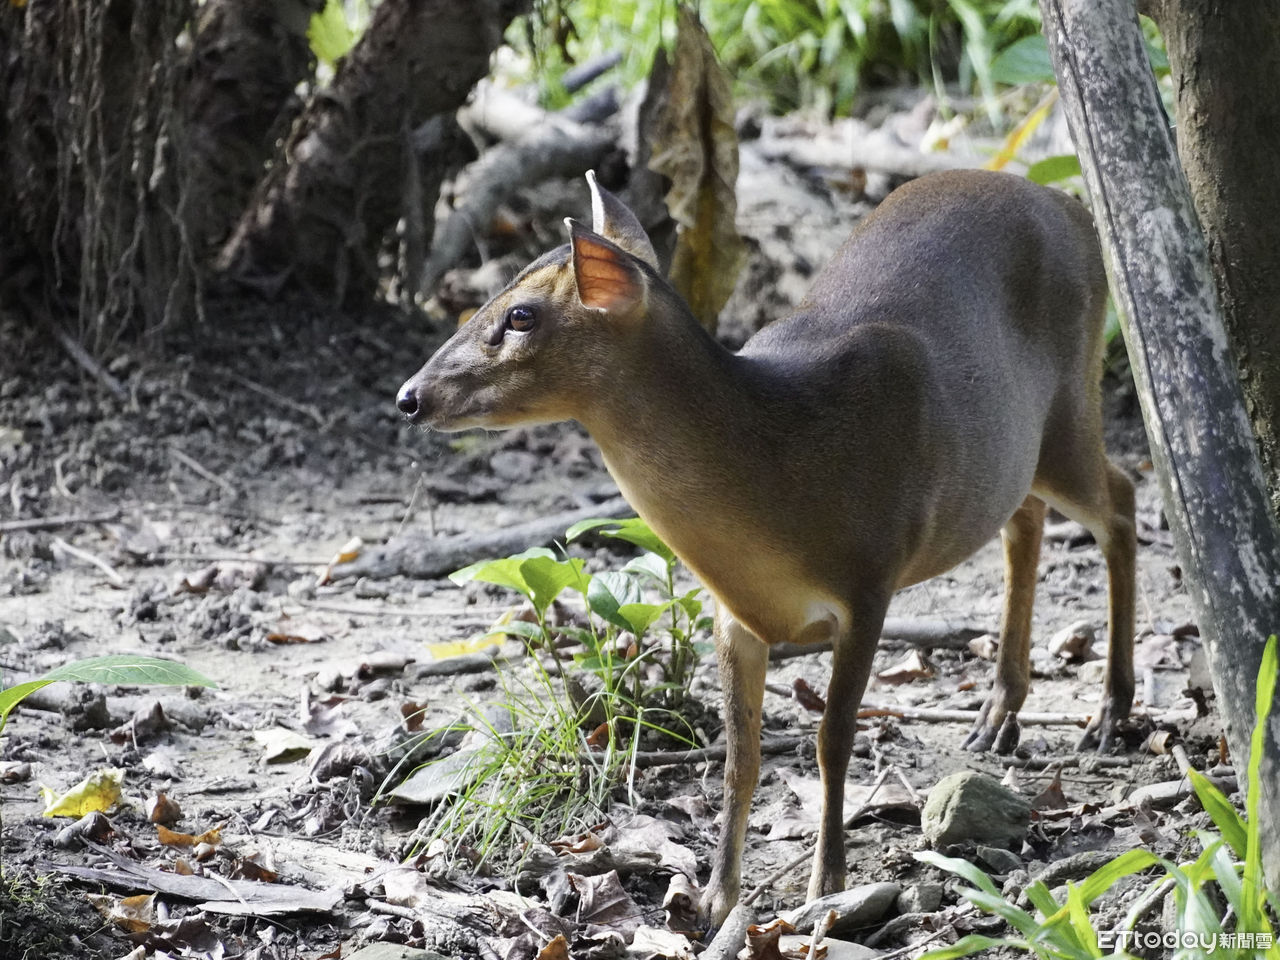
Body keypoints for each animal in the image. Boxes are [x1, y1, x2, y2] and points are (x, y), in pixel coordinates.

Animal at [394, 168, 1136, 926]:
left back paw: (1110, 711)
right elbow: (739, 756)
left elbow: (831, 739)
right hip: (1011, 455)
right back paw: (998, 713)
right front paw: (716, 898)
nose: (409, 396)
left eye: (520, 316)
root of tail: (1072, 207)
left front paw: (826, 885)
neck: (782, 475)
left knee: (1123, 499)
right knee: (1028, 517)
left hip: (1070, 405)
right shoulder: (734, 615)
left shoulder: (870, 578)